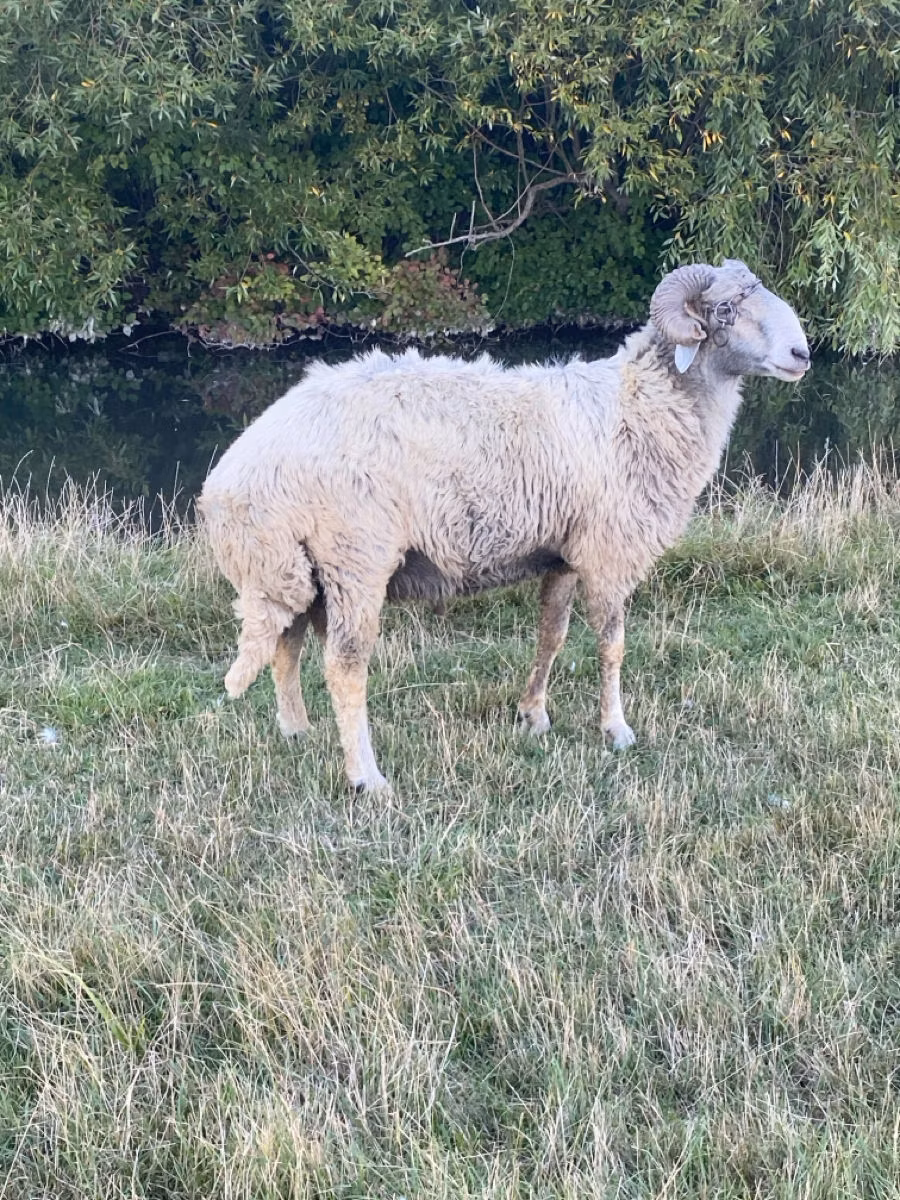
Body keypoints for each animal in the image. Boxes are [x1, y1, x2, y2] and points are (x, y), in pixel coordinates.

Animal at [199, 259, 810, 791]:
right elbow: (611, 645)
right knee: (344, 666)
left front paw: (533, 716)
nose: (802, 353)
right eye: (726, 309)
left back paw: (296, 732)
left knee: (288, 640)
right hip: (355, 557)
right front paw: (616, 730)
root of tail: (239, 475)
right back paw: (366, 777)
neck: (640, 407)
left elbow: (552, 634)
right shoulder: (608, 550)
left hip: (304, 563)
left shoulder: (566, 551)